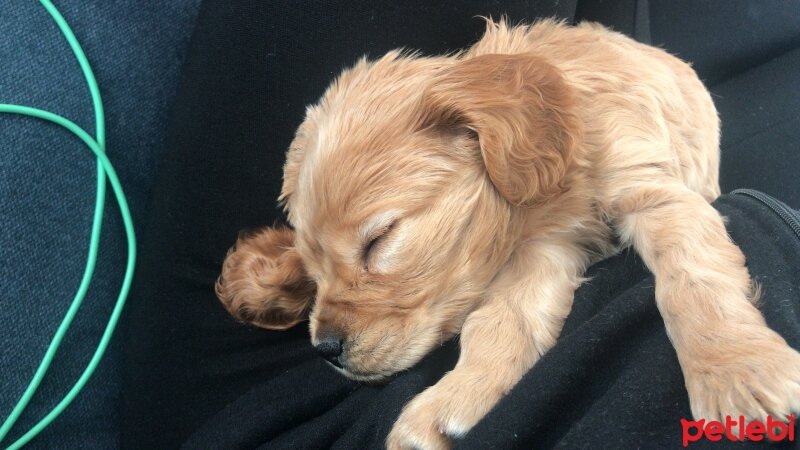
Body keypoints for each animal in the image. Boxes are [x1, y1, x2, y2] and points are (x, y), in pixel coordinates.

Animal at [216, 19, 800, 448]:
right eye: (319, 263)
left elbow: (691, 279)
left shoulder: (651, 194)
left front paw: (735, 369)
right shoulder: (546, 246)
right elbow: (501, 323)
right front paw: (449, 404)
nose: (326, 350)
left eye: (379, 240)